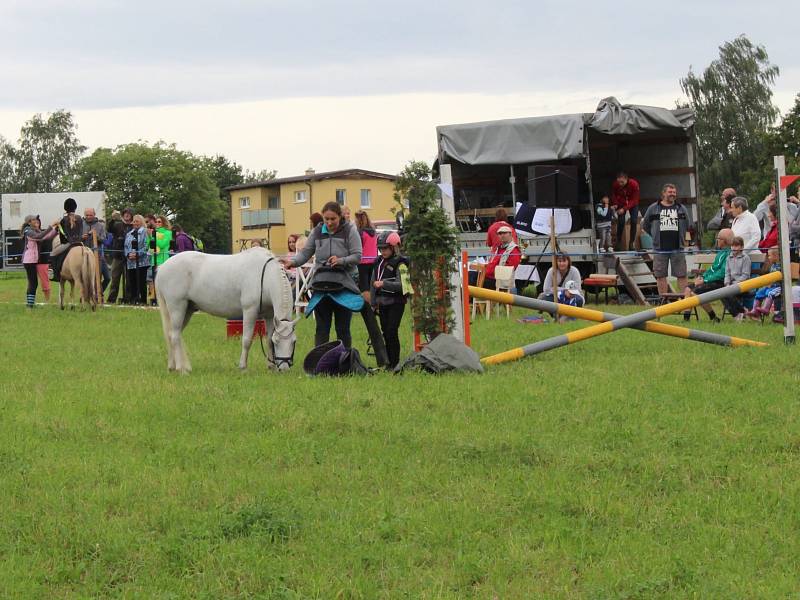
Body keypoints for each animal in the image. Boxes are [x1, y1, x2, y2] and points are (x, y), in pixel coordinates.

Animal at [155, 246, 298, 372]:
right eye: (277, 341)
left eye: (294, 341)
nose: (284, 368)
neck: (264, 275)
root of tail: (162, 268)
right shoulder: (250, 311)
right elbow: (247, 340)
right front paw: (243, 367)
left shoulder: (269, 315)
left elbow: (267, 340)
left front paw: (270, 366)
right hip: (177, 308)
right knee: (174, 336)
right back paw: (180, 368)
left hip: (187, 310)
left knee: (172, 334)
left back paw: (173, 366)